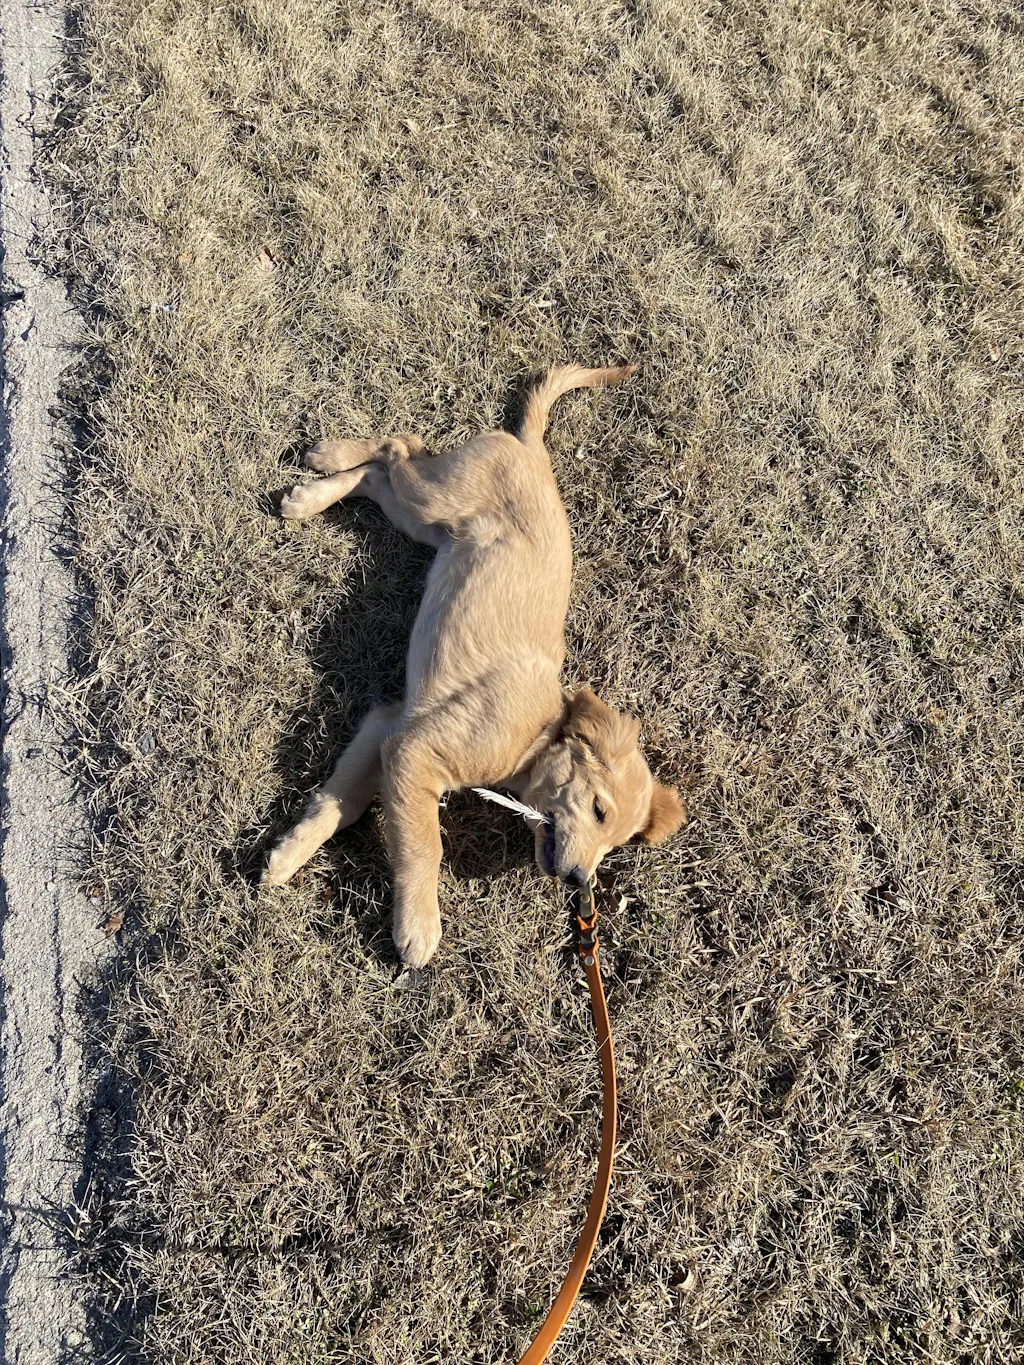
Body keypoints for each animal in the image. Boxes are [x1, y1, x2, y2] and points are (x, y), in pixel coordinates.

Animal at [263, 364, 685, 966]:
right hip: (433, 497)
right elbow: (423, 844)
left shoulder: (388, 723)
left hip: (422, 523)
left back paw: (310, 495)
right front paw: (418, 925)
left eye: (617, 844)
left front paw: (287, 854)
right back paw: (326, 458)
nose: (580, 880)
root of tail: (531, 448)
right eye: (600, 811)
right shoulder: (414, 750)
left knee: (377, 475)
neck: (537, 735)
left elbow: (340, 801)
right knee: (398, 446)